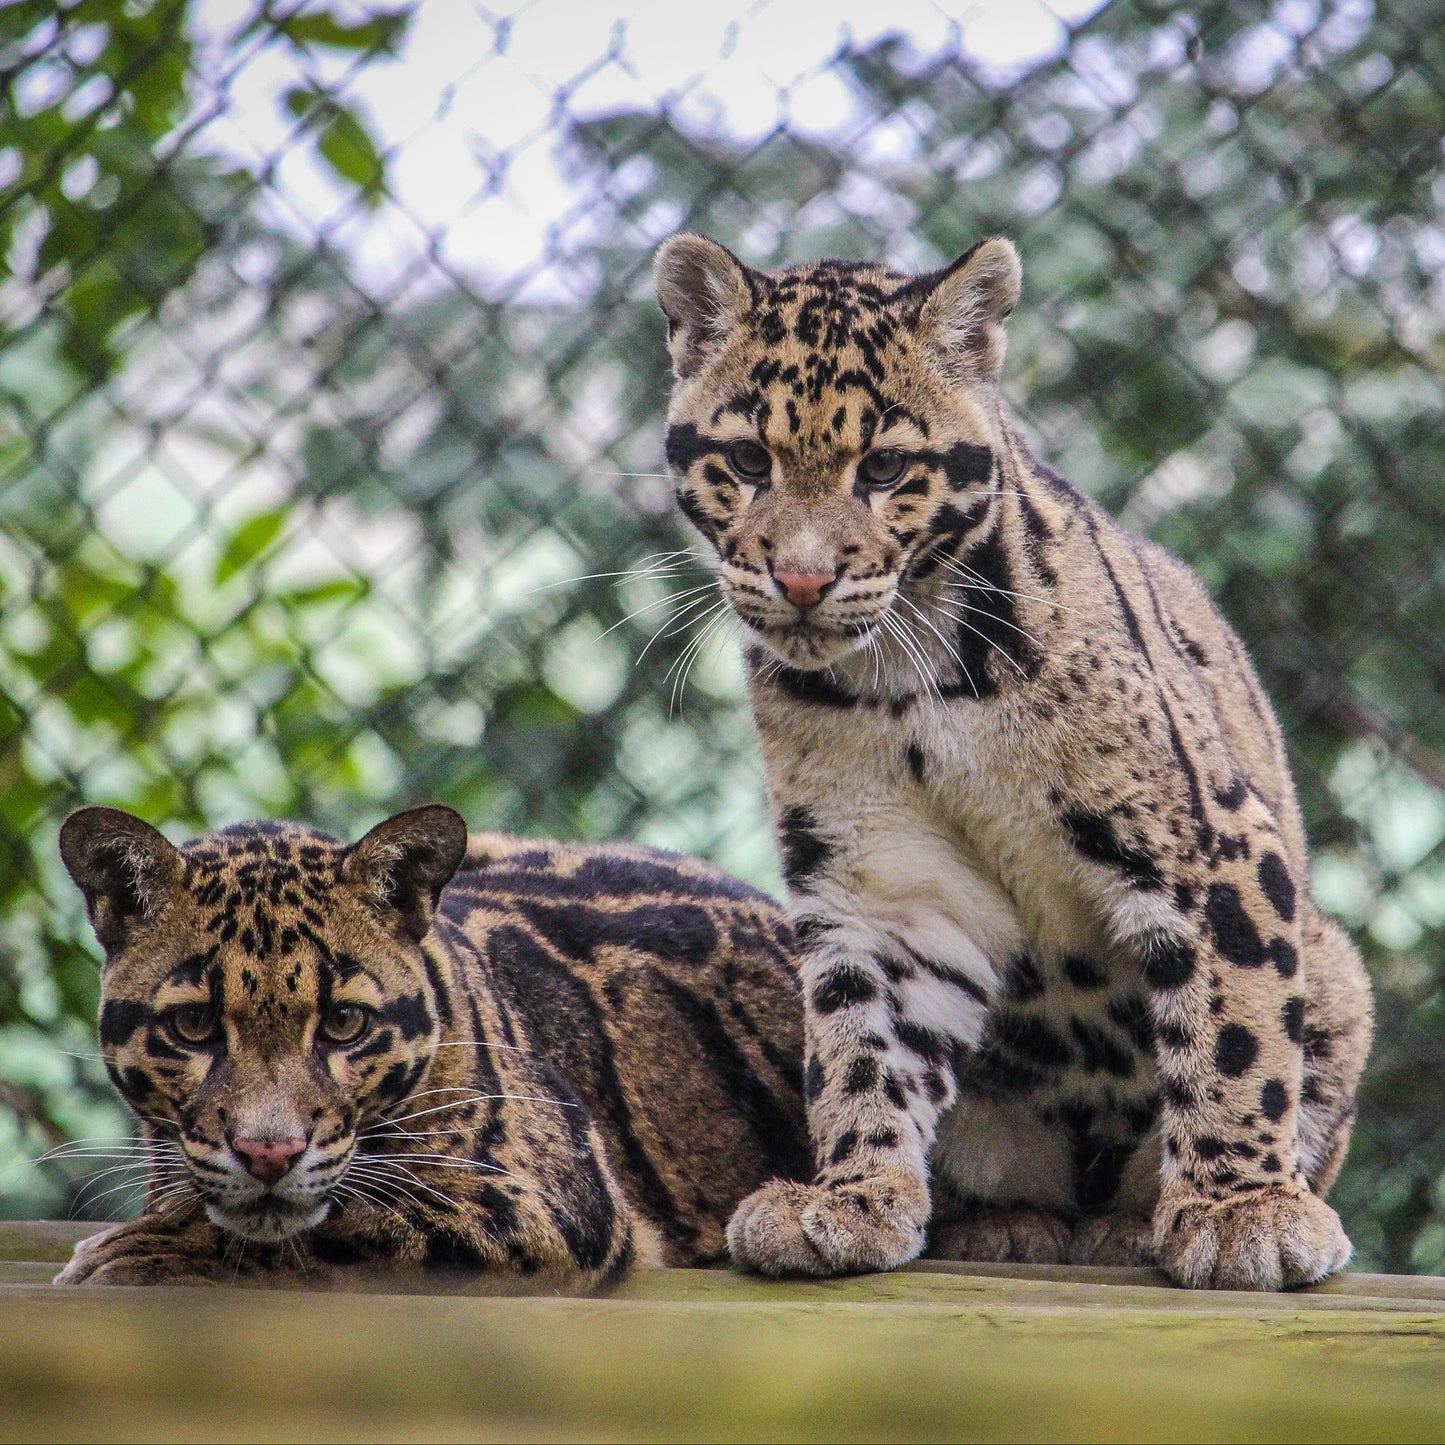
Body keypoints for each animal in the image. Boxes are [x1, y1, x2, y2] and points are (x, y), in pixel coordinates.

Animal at [54, 803, 806, 1288]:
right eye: (193, 1027)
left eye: (344, 1022)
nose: (270, 1154)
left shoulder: (548, 1198)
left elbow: (355, 1218)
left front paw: (142, 1250)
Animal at [652, 231, 1373, 1290]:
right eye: (747, 459)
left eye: (883, 467)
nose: (801, 579)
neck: (907, 679)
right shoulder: (884, 883)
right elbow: (862, 1041)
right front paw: (850, 1195)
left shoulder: (1211, 845)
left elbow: (1234, 1027)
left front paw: (1241, 1210)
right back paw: (1006, 1220)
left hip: (1338, 967)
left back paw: (1135, 1220)